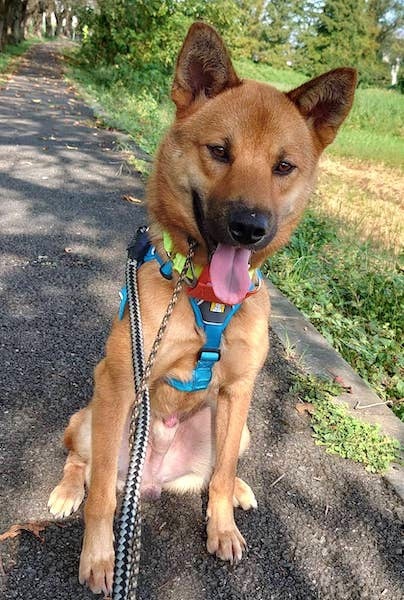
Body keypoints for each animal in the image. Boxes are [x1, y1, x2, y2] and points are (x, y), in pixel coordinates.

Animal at [48, 22, 356, 595]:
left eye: (283, 166)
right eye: (219, 151)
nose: (250, 227)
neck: (207, 297)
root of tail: (151, 477)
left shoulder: (239, 390)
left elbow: (221, 474)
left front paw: (223, 523)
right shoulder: (119, 381)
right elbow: (101, 498)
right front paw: (99, 556)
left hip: (241, 425)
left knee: (220, 468)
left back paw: (237, 489)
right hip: (93, 416)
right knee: (85, 465)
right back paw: (66, 491)